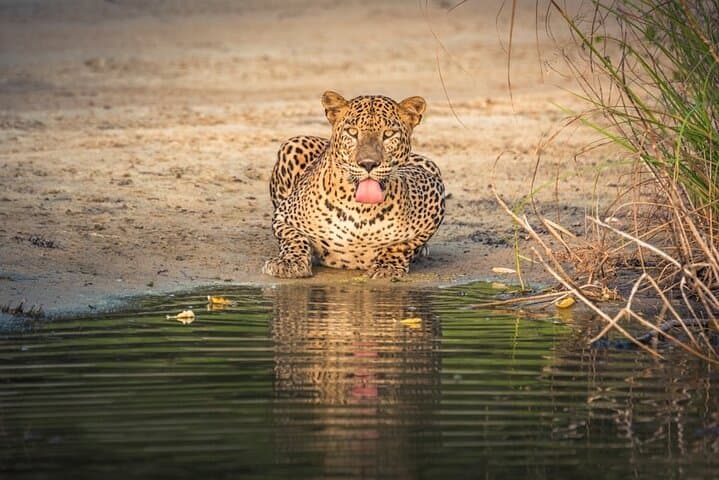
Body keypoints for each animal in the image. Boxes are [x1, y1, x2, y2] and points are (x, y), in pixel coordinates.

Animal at [263, 91, 445, 279]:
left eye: (388, 134)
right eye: (352, 132)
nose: (368, 164)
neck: (361, 211)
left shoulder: (434, 193)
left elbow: (403, 244)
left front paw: (387, 266)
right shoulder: (283, 216)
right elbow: (294, 238)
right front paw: (289, 263)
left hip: (430, 164)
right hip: (293, 144)